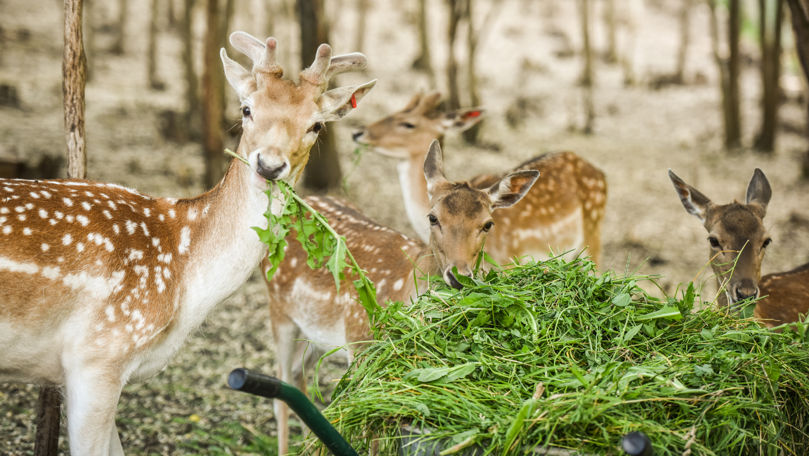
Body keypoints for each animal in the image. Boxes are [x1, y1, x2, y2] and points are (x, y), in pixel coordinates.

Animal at [264, 141, 536, 454]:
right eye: (433, 217)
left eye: (488, 224)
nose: (459, 276)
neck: (403, 287)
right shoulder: (358, 341)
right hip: (278, 308)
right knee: (281, 390)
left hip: (316, 332)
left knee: (297, 376)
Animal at [354, 91, 608, 266]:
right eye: (395, 111)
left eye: (408, 124)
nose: (358, 132)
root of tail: (600, 172)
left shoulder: (509, 259)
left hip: (593, 235)